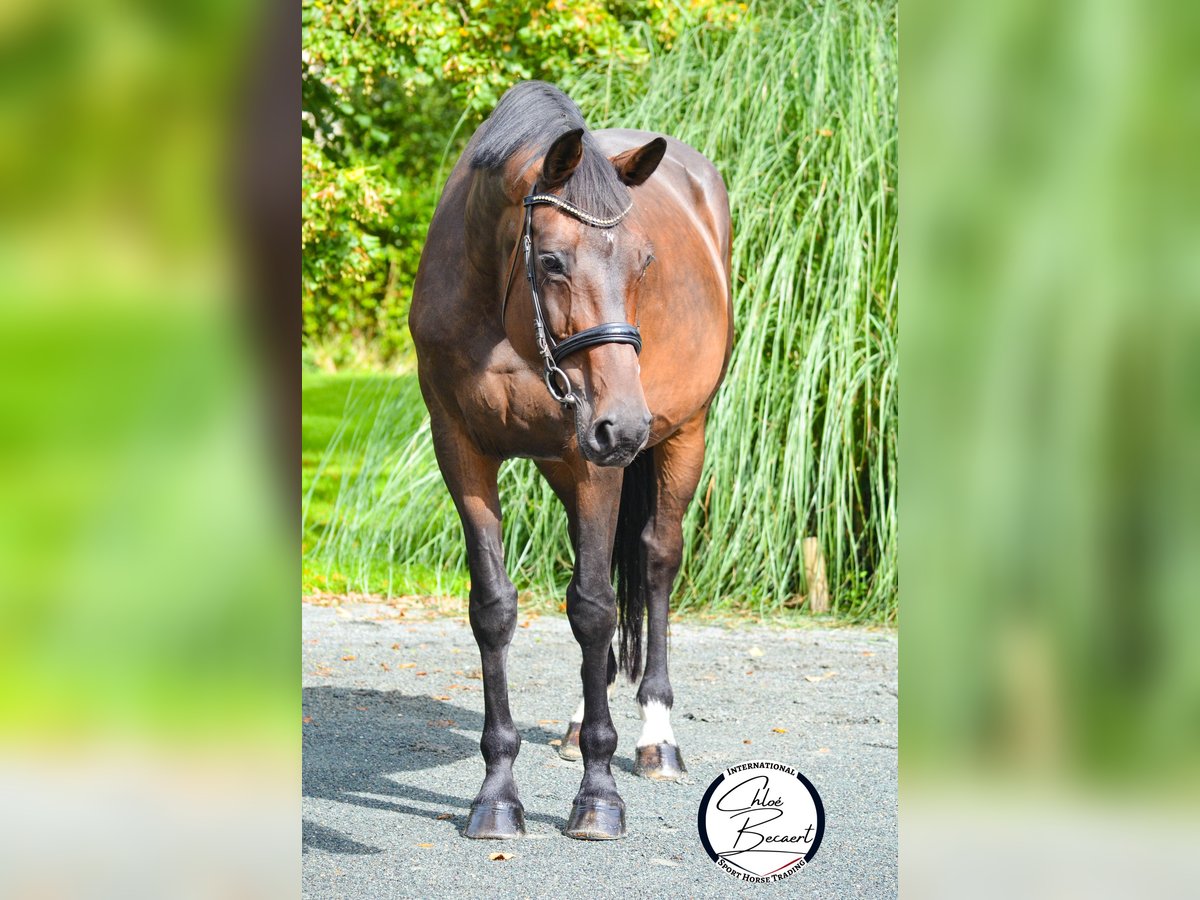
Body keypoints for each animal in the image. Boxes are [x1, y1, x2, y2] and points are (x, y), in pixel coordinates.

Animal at [410, 81, 729, 844]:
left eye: (644, 262)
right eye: (552, 260)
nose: (626, 424)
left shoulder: (597, 464)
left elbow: (593, 606)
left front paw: (599, 795)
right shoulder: (461, 451)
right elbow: (495, 609)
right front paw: (497, 796)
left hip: (683, 434)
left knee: (654, 561)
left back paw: (655, 736)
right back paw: (584, 720)